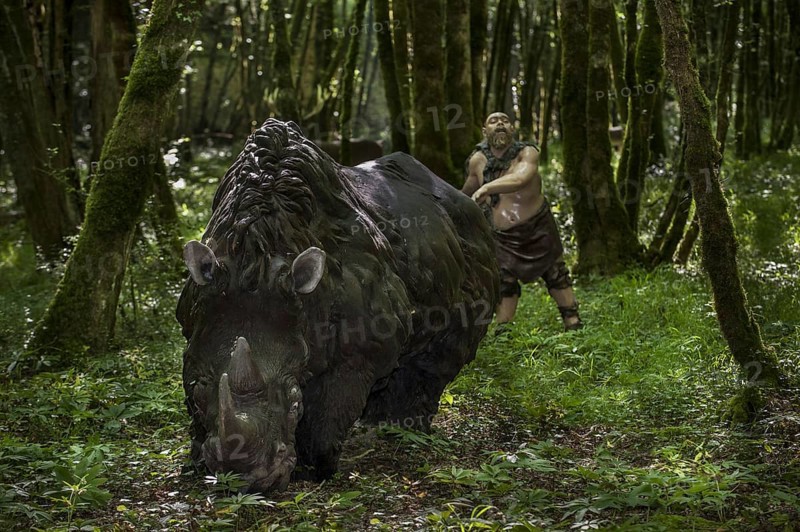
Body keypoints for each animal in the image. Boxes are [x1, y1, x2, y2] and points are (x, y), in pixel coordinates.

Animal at [176, 119, 499, 492]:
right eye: (198, 393)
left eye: (295, 401)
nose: (245, 481)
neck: (258, 252)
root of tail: (460, 194)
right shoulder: (197, 323)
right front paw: (197, 461)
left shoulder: (362, 344)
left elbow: (332, 406)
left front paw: (315, 470)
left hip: (474, 238)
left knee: (439, 355)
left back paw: (399, 430)